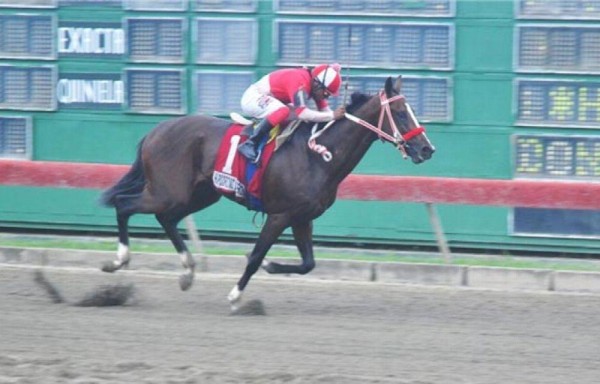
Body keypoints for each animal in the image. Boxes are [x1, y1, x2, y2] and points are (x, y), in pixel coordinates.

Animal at [101, 77, 434, 308]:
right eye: (401, 113)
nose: (426, 149)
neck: (318, 156)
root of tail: (155, 131)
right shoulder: (280, 215)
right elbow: (255, 256)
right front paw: (236, 296)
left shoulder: (303, 217)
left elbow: (308, 263)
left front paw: (273, 267)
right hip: (169, 191)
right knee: (124, 204)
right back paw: (117, 260)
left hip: (198, 194)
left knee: (165, 218)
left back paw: (187, 272)